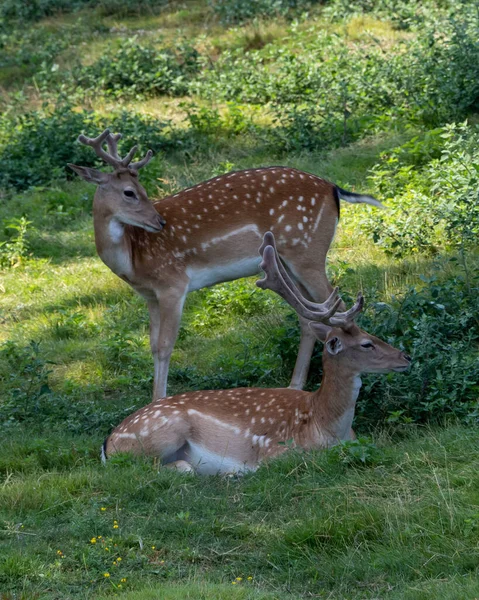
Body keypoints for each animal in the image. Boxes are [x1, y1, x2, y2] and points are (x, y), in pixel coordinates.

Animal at [68, 127, 382, 398]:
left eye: (141, 189)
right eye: (129, 192)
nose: (159, 222)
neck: (134, 257)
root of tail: (334, 188)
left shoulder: (173, 284)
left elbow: (166, 346)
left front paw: (157, 402)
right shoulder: (150, 296)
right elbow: (153, 347)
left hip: (308, 252)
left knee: (339, 306)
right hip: (288, 262)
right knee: (309, 316)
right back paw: (294, 386)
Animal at [101, 232, 408, 472]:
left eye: (372, 335)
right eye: (366, 344)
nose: (405, 357)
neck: (327, 427)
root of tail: (108, 443)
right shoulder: (275, 450)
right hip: (162, 432)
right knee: (155, 467)